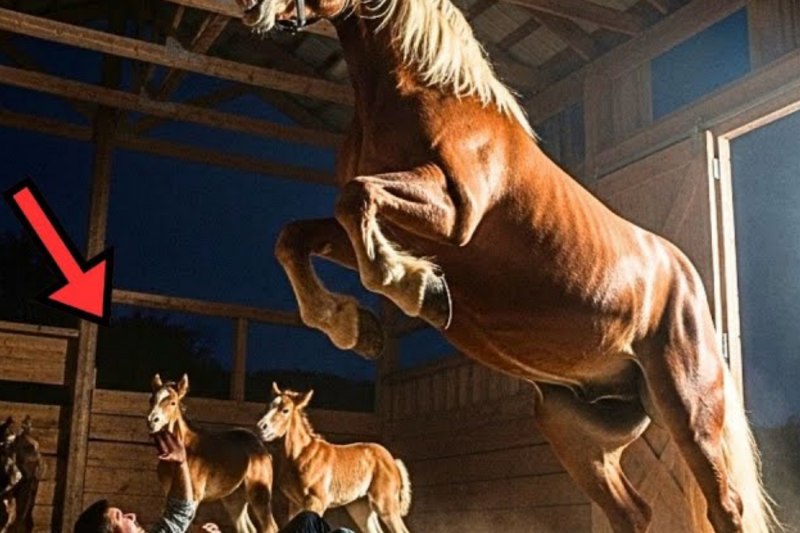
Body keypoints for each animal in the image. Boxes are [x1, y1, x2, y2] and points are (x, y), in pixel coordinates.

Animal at [147, 374, 278, 533]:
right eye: (151, 399)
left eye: (173, 402)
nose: (152, 421)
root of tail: (263, 450)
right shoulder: (171, 493)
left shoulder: (193, 497)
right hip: (235, 499)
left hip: (259, 493)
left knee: (270, 527)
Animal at [256, 383, 411, 533]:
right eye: (268, 406)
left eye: (285, 410)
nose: (261, 427)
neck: (301, 455)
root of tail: (393, 462)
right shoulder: (295, 504)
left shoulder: (316, 501)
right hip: (361, 507)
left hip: (385, 502)